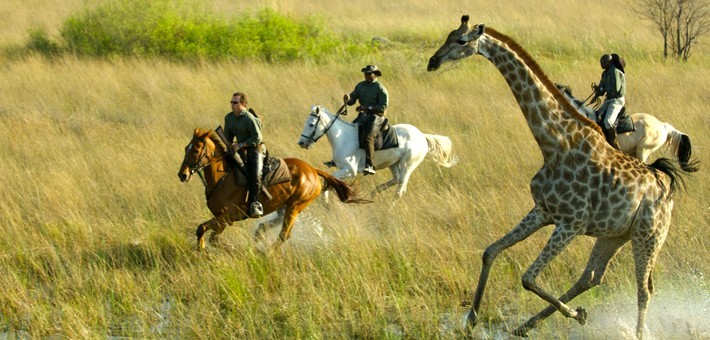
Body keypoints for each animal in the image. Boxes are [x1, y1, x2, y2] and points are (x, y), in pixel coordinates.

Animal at [178, 128, 370, 252]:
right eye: (186, 148)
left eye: (196, 149)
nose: (182, 174)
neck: (222, 178)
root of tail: (314, 171)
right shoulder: (221, 219)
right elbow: (206, 233)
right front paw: (205, 248)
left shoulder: (226, 218)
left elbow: (207, 233)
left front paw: (221, 249)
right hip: (286, 206)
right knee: (274, 224)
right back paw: (259, 234)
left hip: (295, 206)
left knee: (284, 235)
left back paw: (266, 252)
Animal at [298, 105, 458, 198]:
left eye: (311, 124)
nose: (301, 143)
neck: (343, 137)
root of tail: (422, 136)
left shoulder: (349, 171)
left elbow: (330, 180)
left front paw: (324, 201)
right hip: (393, 164)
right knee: (396, 179)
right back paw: (374, 193)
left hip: (408, 166)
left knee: (400, 189)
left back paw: (390, 210)